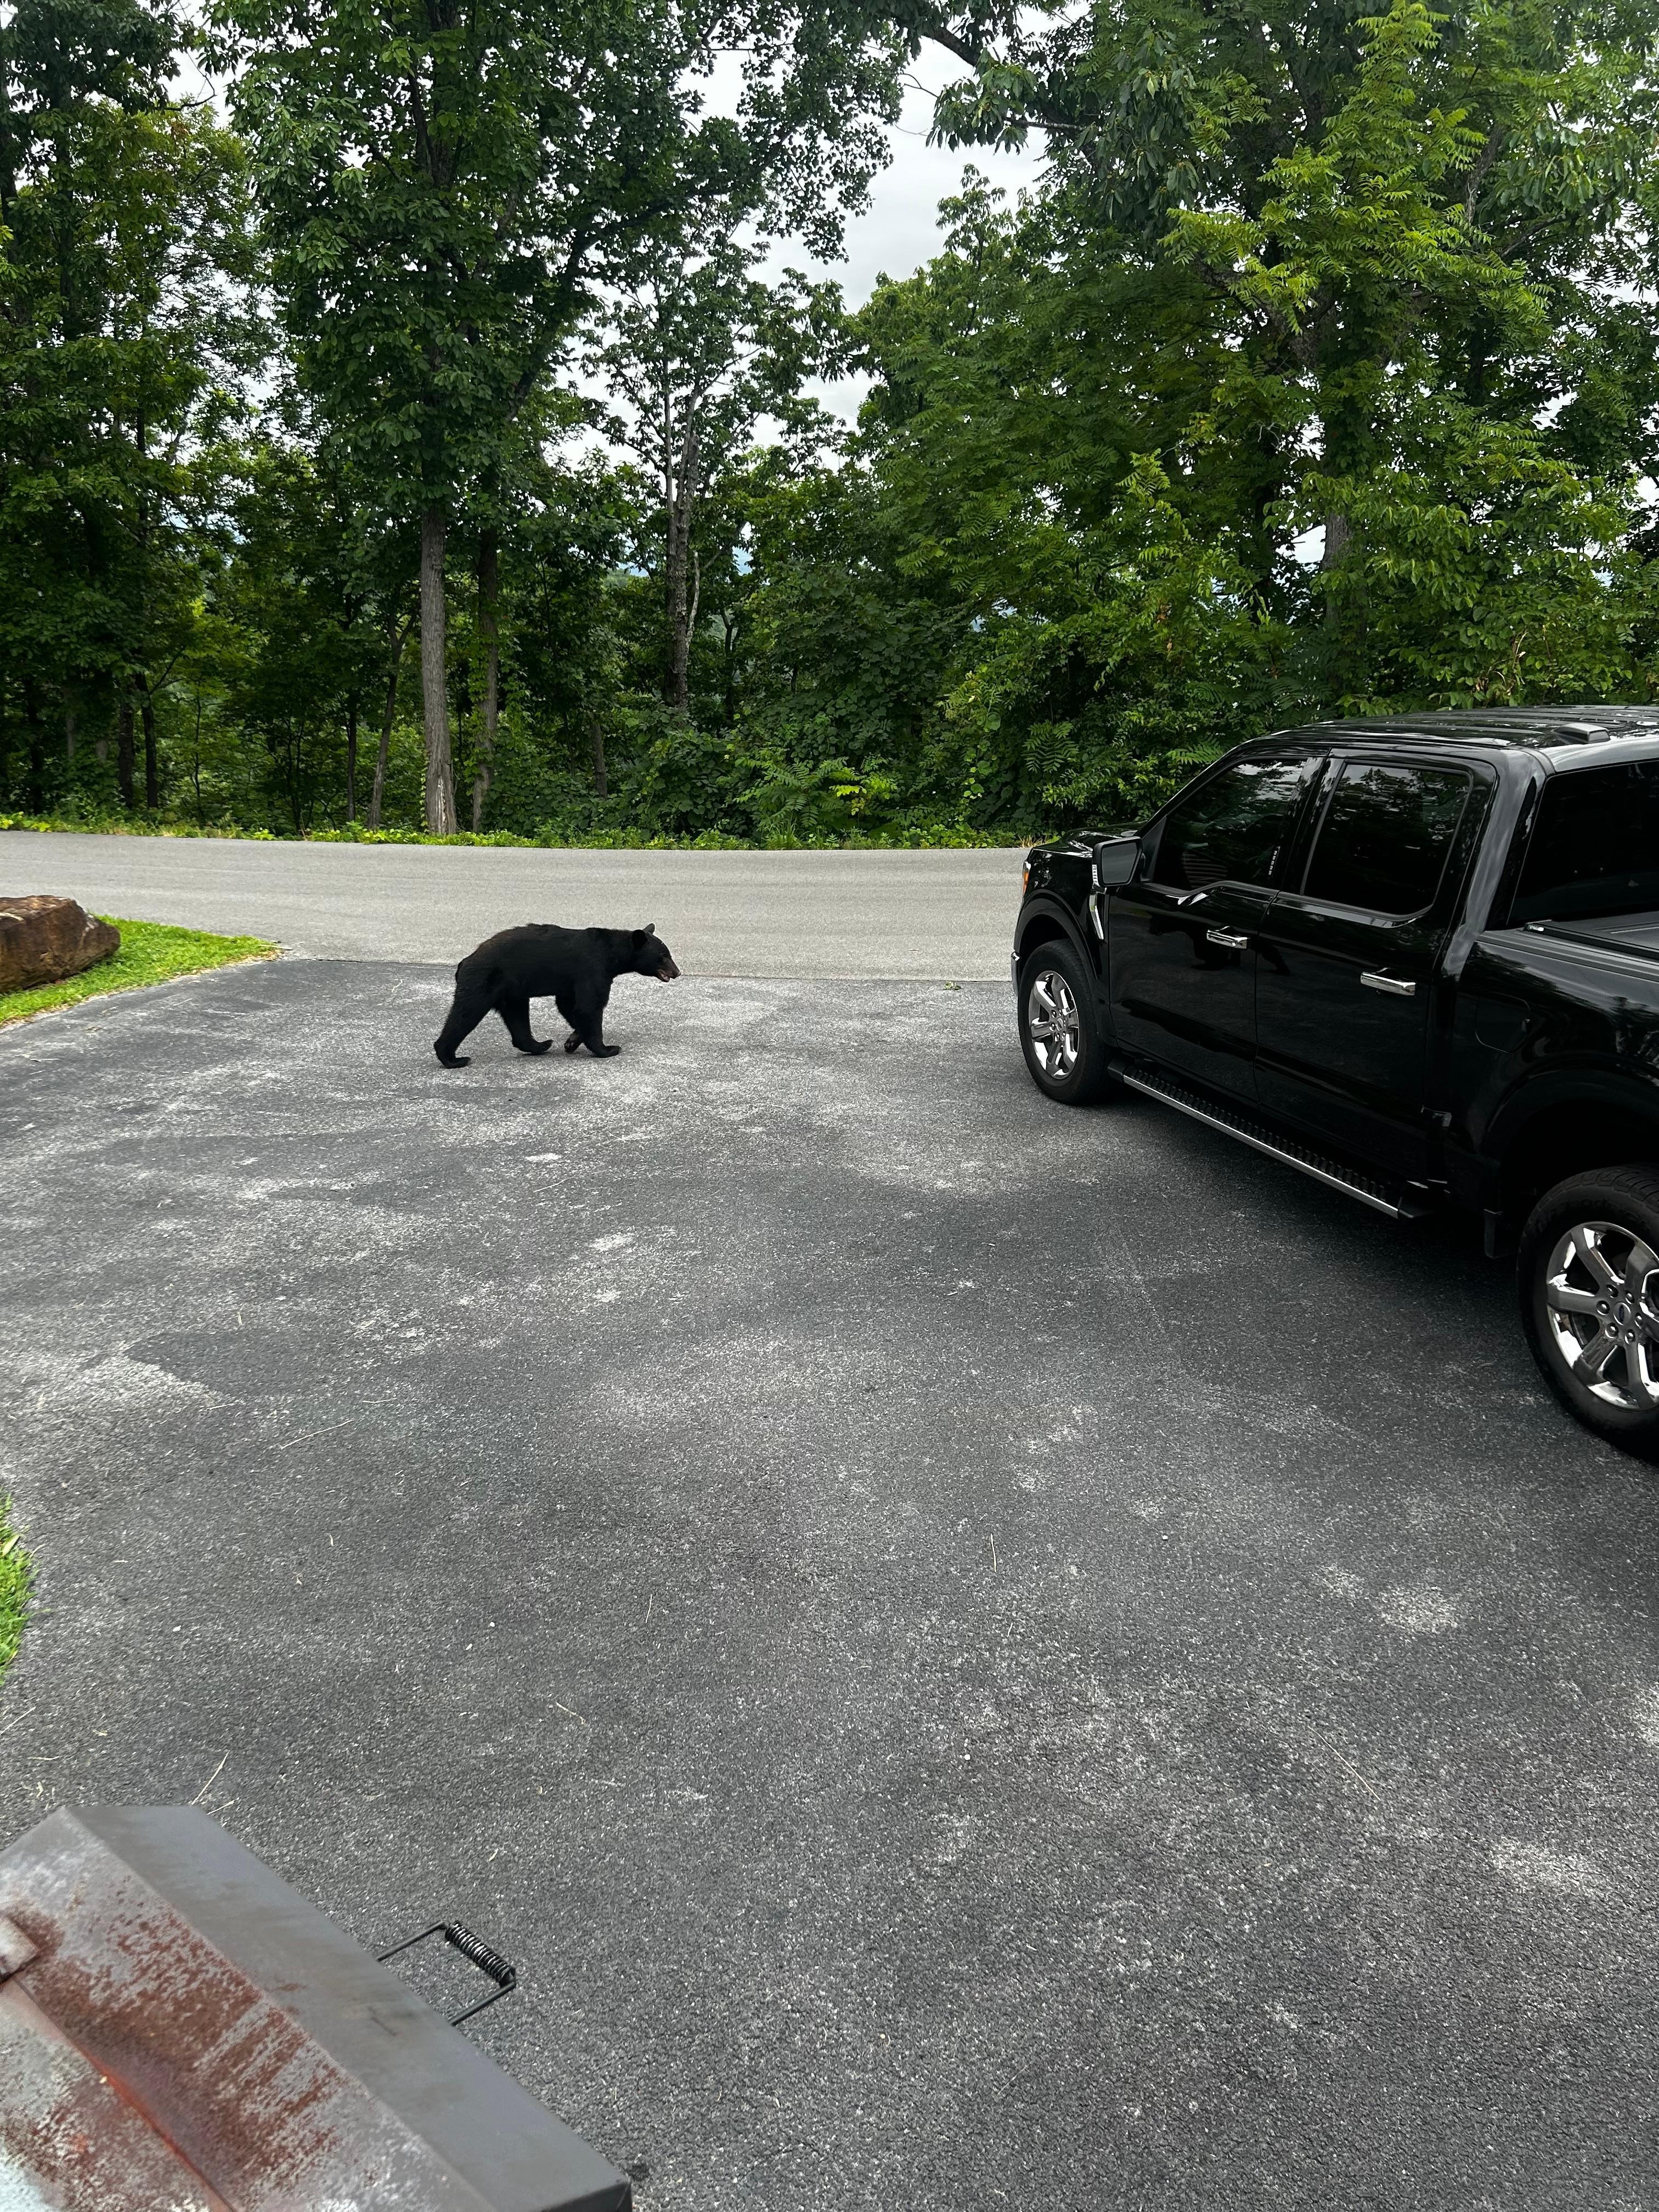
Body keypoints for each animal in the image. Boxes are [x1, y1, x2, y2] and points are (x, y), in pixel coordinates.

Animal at [434, 922, 681, 1069]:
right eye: (663, 956)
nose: (677, 972)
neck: (612, 954)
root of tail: (465, 961)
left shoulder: (571, 982)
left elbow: (569, 1006)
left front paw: (572, 1041)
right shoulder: (592, 970)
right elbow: (589, 1007)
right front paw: (607, 1049)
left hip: (512, 989)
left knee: (517, 1017)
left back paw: (540, 1045)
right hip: (483, 981)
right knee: (465, 1013)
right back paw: (453, 1058)